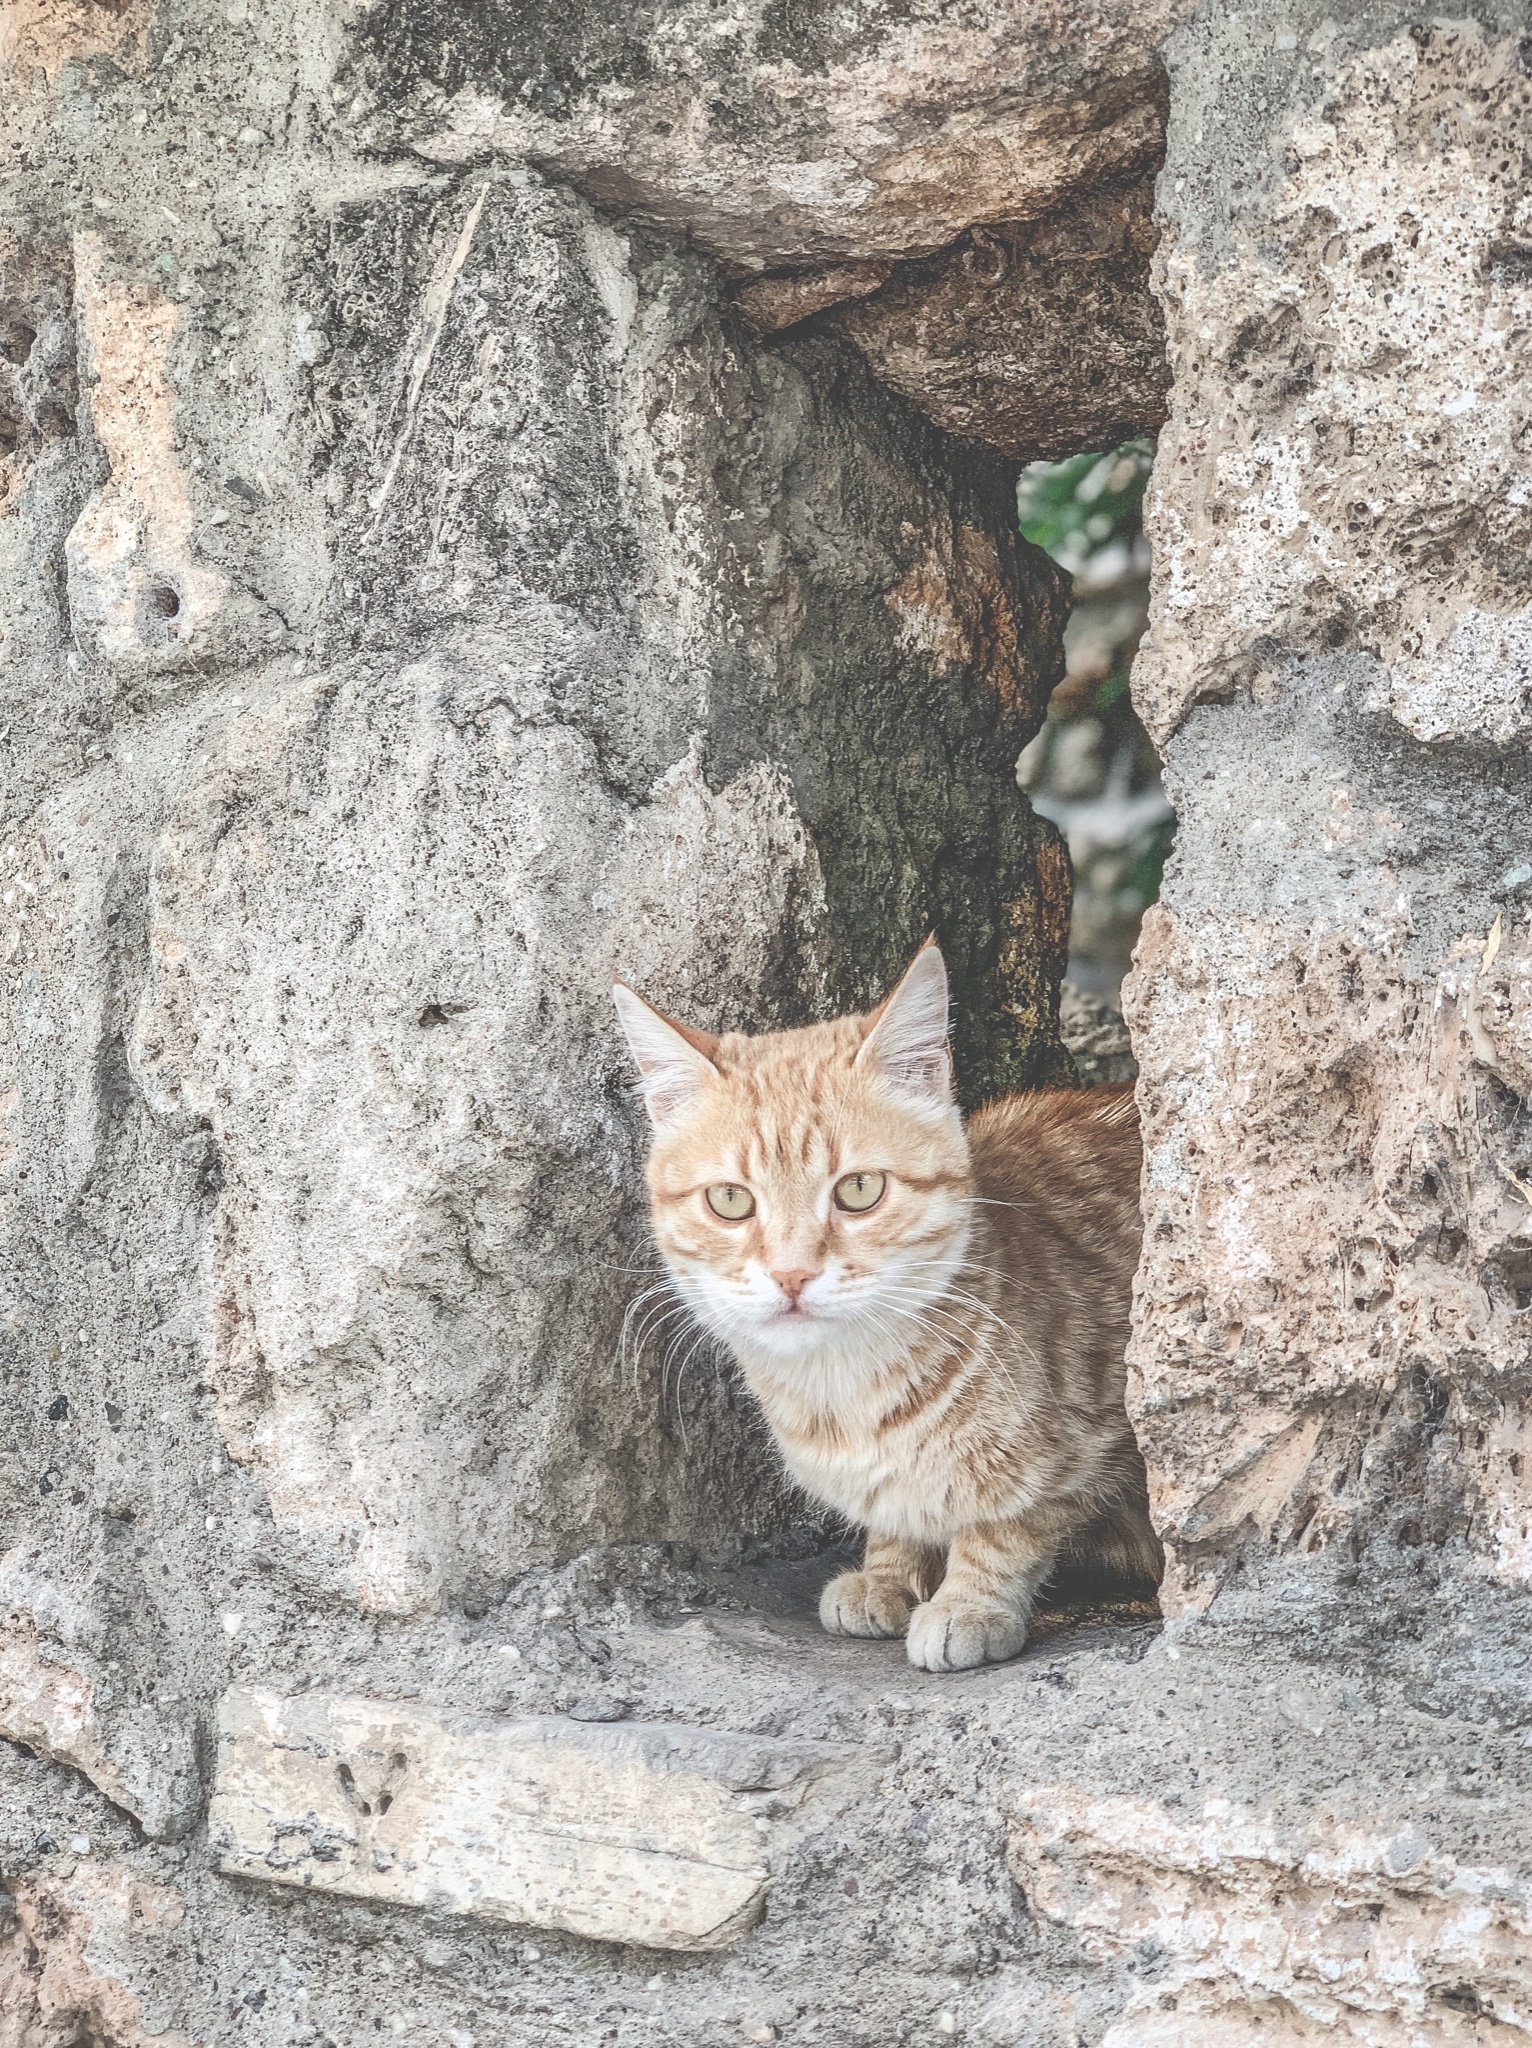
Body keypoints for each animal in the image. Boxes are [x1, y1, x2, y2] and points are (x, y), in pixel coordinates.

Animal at [610, 942, 1163, 1662]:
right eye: (730, 1200)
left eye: (859, 1190)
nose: (791, 1275)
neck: (845, 1397)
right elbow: (902, 1517)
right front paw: (888, 1572)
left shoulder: (1103, 1437)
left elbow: (1009, 1524)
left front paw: (968, 1601)